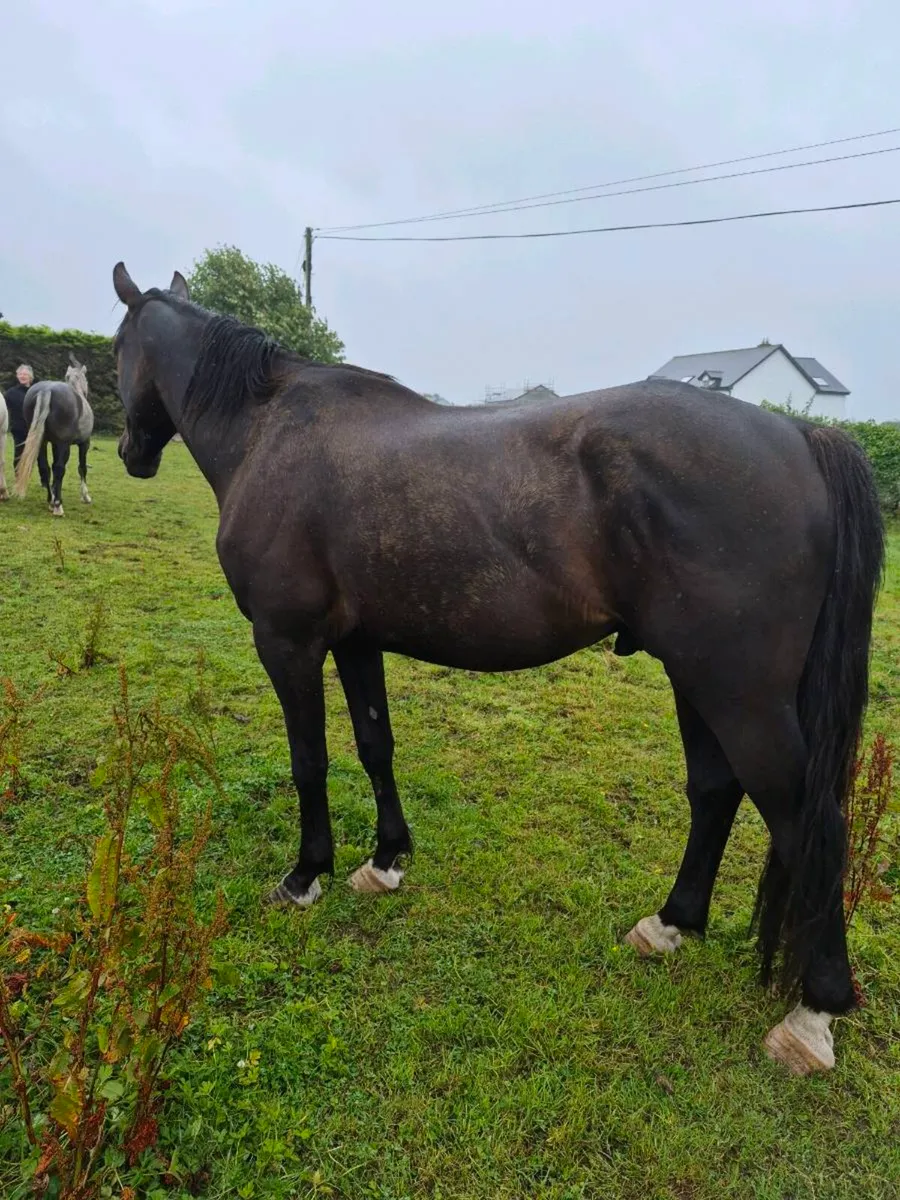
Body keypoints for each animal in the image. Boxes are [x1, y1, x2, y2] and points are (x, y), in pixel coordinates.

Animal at [14, 354, 94, 516]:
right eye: (86, 380)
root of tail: (46, 390)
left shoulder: (53, 444)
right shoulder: (84, 444)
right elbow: (82, 468)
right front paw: (85, 496)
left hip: (42, 442)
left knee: (45, 468)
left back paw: (51, 501)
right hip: (63, 444)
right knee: (58, 468)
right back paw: (57, 505)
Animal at [111, 262, 884, 1076]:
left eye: (118, 349)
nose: (131, 451)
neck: (270, 429)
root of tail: (801, 434)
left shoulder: (287, 640)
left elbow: (309, 760)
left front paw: (304, 876)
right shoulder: (355, 641)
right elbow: (375, 745)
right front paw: (385, 861)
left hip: (739, 692)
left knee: (807, 820)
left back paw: (814, 1012)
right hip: (698, 678)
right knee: (716, 792)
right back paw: (670, 924)